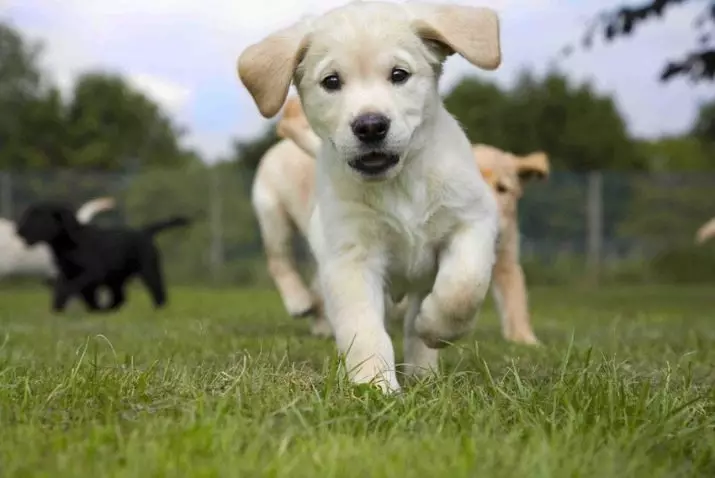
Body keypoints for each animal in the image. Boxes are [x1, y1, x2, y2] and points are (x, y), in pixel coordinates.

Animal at [16, 202, 190, 314]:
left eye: (38, 218)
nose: (19, 230)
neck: (68, 243)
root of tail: (145, 232)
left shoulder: (92, 273)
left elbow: (72, 287)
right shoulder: (67, 273)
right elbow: (72, 291)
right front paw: (61, 308)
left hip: (149, 271)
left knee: (158, 292)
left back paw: (158, 310)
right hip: (116, 280)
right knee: (120, 298)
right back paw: (108, 310)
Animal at [238, 0, 500, 392]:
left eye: (399, 74)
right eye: (331, 81)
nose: (371, 126)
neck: (397, 183)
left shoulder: (474, 219)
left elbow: (464, 288)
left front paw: (432, 328)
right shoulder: (351, 256)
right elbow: (364, 329)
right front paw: (374, 385)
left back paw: (424, 373)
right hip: (274, 215)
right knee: (279, 259)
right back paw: (299, 301)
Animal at [255, 97, 552, 344]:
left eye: (504, 189)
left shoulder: (504, 257)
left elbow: (511, 297)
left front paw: (525, 340)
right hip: (276, 216)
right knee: (279, 261)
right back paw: (300, 302)